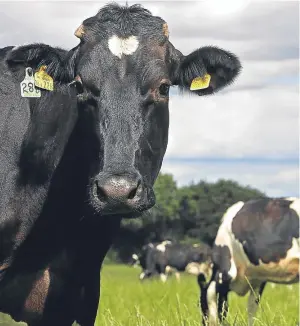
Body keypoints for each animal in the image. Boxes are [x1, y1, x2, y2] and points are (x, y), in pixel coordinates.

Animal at [199, 197, 300, 326]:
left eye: (200, 304)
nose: (202, 322)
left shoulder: (226, 270)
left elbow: (213, 297)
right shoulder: (258, 280)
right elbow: (252, 306)